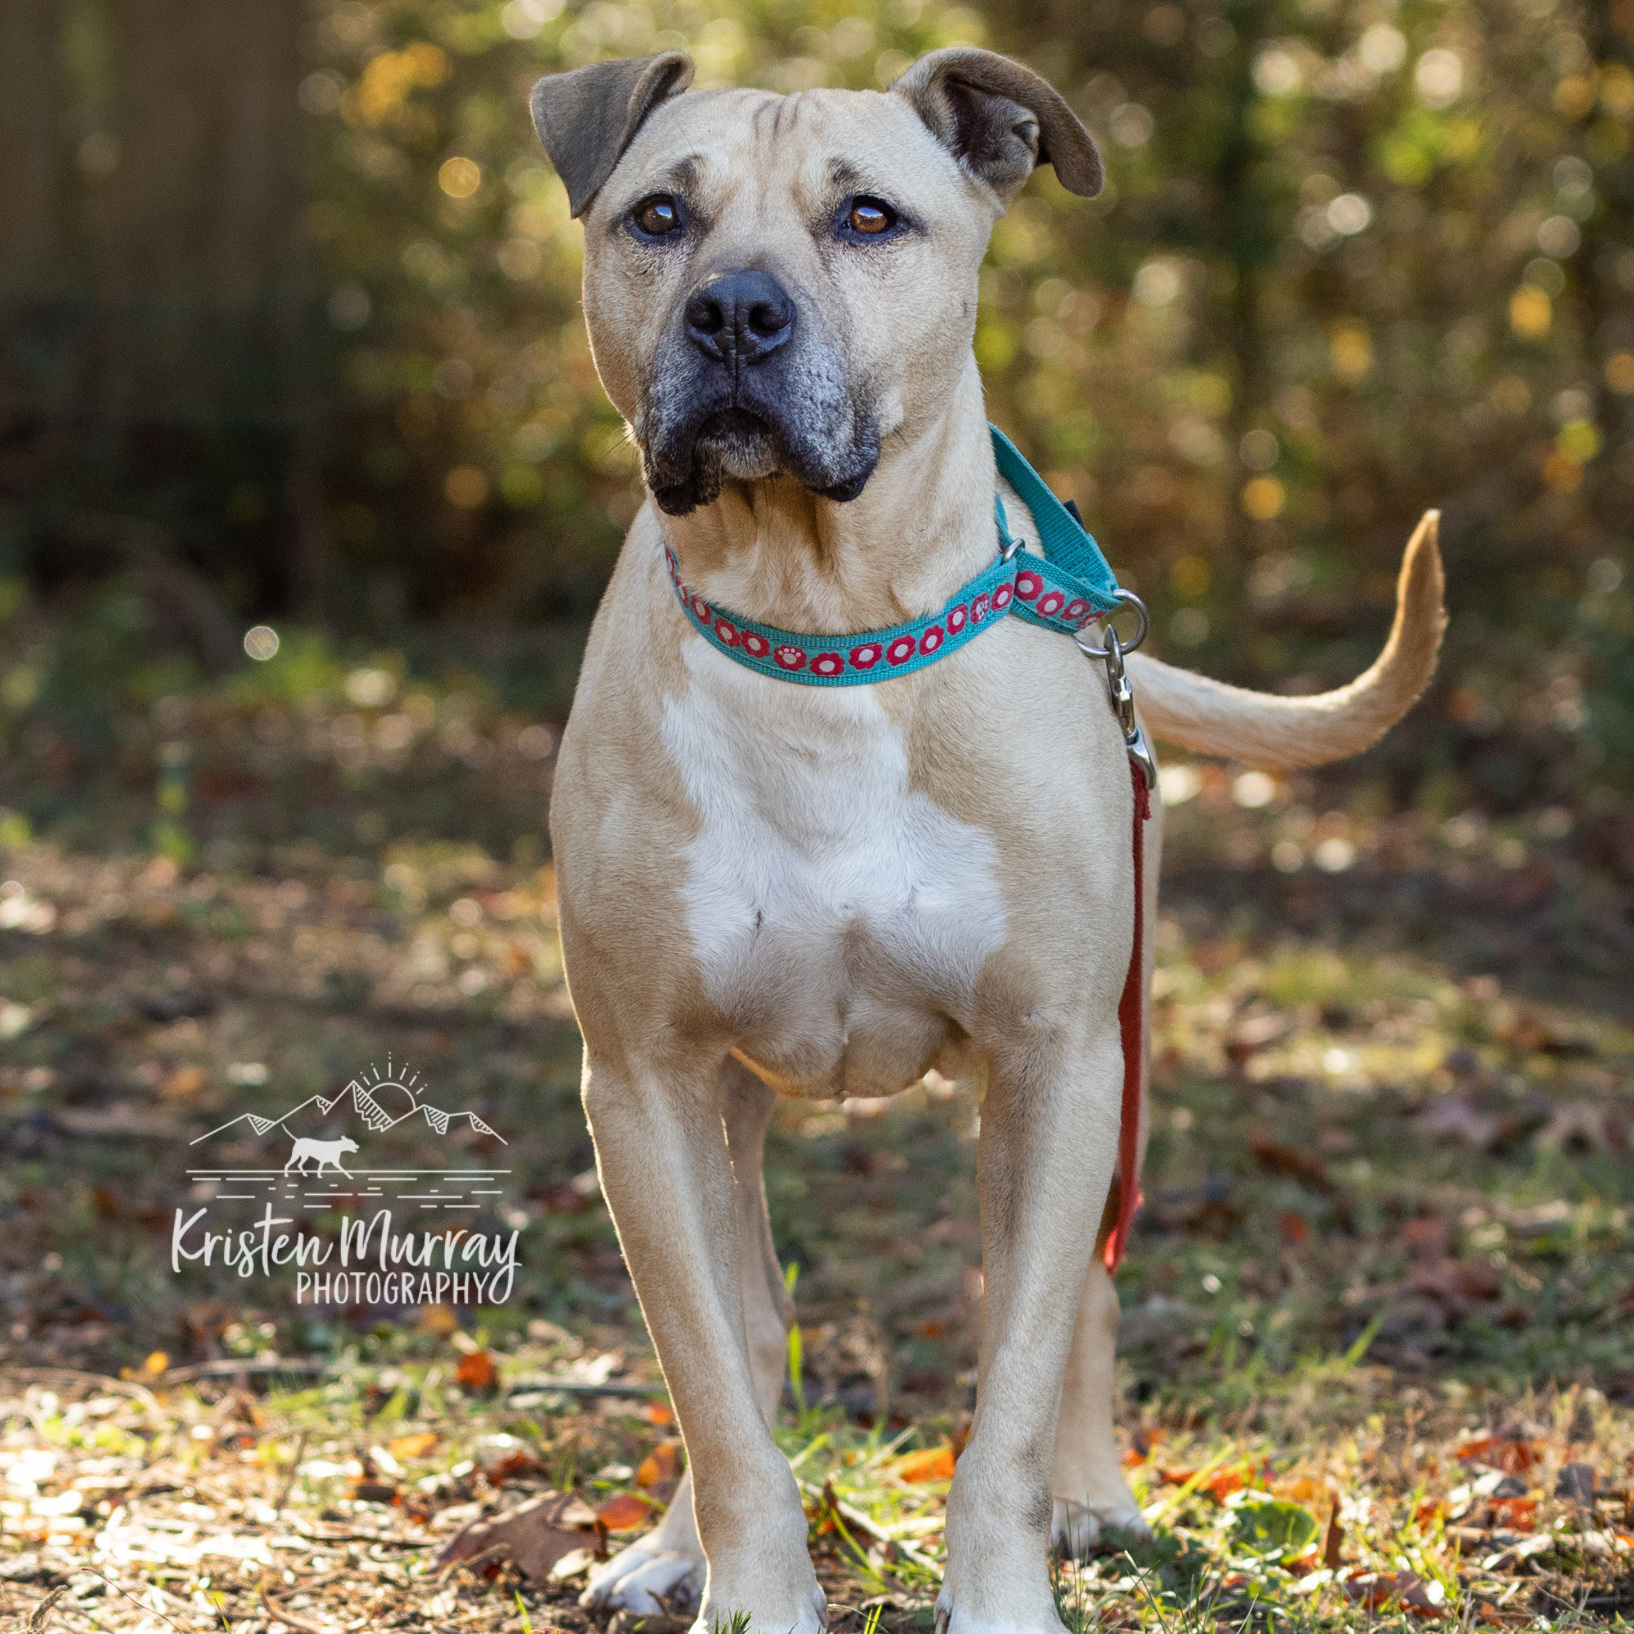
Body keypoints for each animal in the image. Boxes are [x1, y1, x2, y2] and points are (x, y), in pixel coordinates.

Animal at [526, 44, 1444, 1627]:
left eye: (868, 218)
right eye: (657, 216)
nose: (733, 312)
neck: (824, 633)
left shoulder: (1055, 1060)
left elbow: (1011, 1378)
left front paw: (1009, 1578)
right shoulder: (642, 1081)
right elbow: (713, 1380)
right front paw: (746, 1586)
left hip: (1112, 1061)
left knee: (1084, 1295)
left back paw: (1094, 1493)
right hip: (727, 1108)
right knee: (744, 1327)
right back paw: (670, 1544)